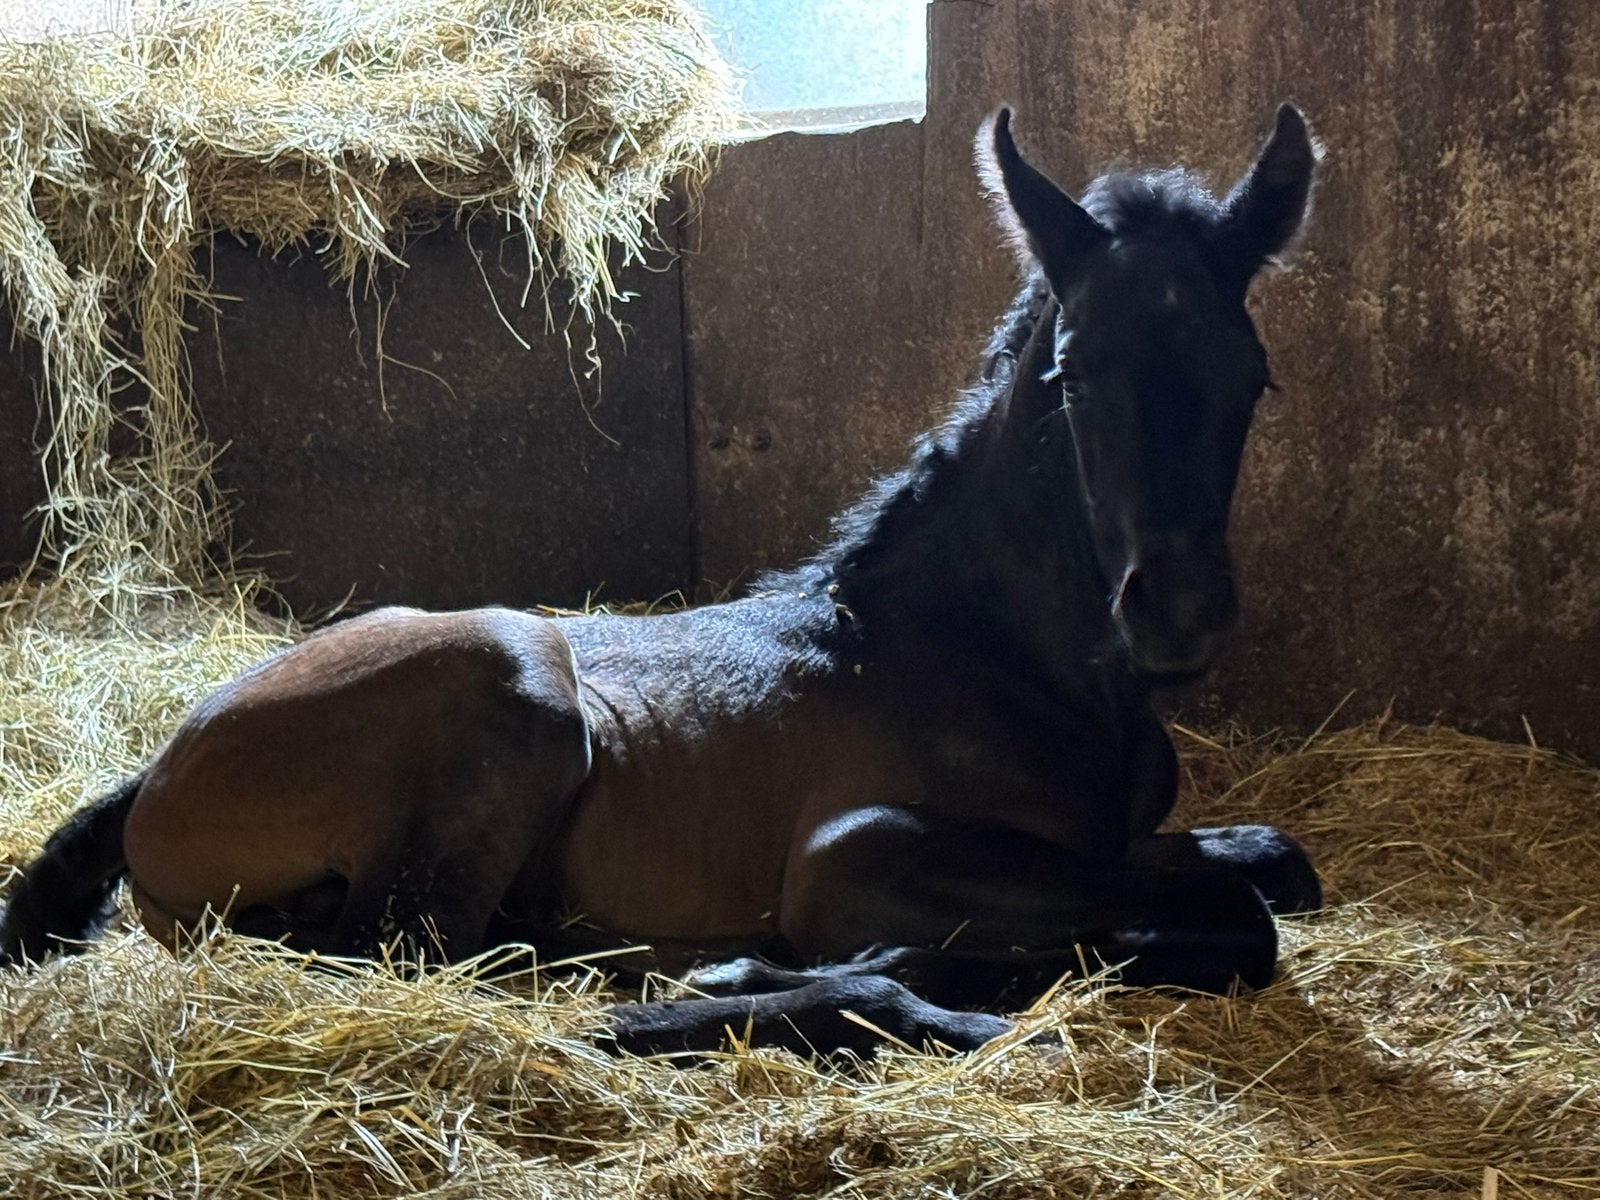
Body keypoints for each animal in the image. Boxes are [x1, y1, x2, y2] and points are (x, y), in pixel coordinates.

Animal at [0, 104, 1321, 1058]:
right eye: (1074, 374)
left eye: (1252, 375)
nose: (1177, 614)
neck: (985, 654)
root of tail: (162, 766)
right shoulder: (854, 859)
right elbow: (1232, 920)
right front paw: (841, 972)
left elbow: (1265, 868)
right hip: (508, 671)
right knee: (434, 958)